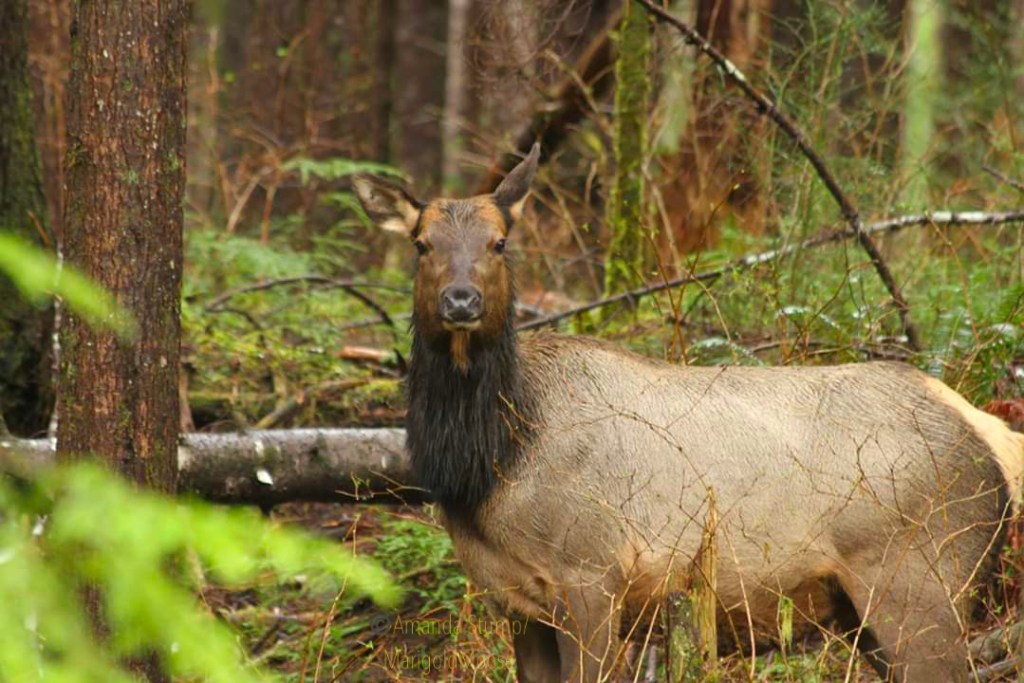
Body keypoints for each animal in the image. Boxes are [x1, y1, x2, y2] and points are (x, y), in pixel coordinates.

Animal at [354, 145, 1024, 682]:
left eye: (499, 243)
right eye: (421, 244)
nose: (460, 301)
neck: (490, 467)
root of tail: (989, 433)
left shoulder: (592, 576)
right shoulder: (517, 604)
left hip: (918, 580)